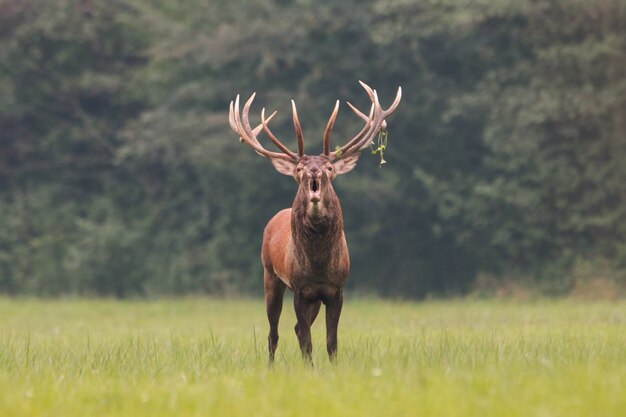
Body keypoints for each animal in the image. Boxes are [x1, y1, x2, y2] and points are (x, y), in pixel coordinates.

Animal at [228, 80, 400, 360]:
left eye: (330, 167)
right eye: (299, 168)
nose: (314, 171)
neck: (319, 264)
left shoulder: (335, 290)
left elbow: (331, 341)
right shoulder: (300, 289)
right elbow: (307, 341)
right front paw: (309, 366)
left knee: (297, 328)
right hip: (270, 275)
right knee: (274, 333)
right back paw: (270, 364)